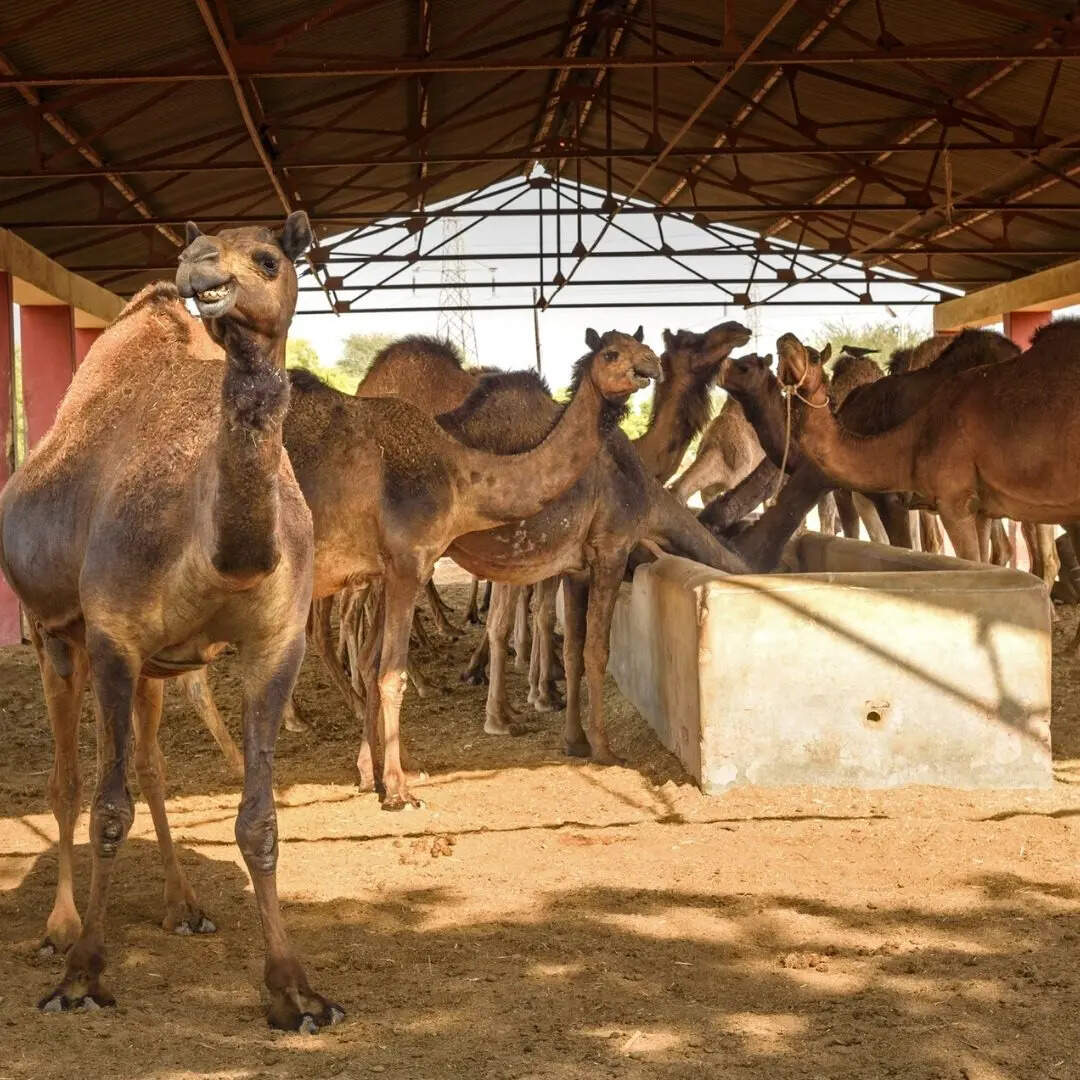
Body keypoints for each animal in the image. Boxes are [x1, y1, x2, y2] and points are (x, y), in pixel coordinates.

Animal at [0, 214, 343, 1030]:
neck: (215, 549)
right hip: (54, 637)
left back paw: (183, 905)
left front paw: (295, 990)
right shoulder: (114, 635)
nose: (199, 266)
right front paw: (82, 976)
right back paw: (60, 928)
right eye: (200, 246)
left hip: (155, 667)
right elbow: (106, 808)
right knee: (67, 779)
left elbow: (258, 819)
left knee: (151, 765)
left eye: (269, 258)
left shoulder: (276, 643)